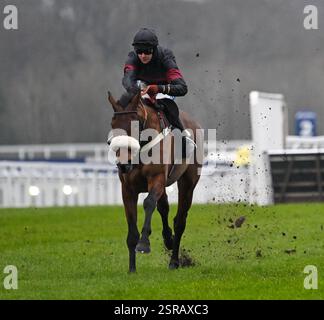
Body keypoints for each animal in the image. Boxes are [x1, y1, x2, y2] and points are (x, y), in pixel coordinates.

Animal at [106, 90, 202, 272]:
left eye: (135, 124)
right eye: (113, 124)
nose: (123, 164)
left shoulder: (156, 178)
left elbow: (149, 202)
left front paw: (144, 243)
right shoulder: (127, 189)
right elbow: (132, 228)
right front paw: (132, 269)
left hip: (188, 183)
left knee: (180, 221)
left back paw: (174, 261)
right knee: (164, 208)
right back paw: (168, 239)